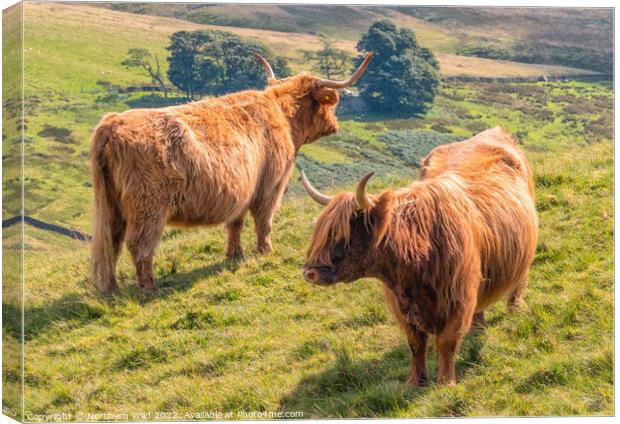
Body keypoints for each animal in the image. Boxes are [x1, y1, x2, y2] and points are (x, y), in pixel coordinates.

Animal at [90, 51, 372, 294]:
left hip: (112, 206)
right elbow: (264, 222)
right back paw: (150, 289)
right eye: (329, 105)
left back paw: (112, 288)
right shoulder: (270, 187)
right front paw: (265, 251)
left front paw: (234, 255)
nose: (335, 125)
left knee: (110, 242)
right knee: (139, 245)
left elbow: (235, 223)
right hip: (148, 207)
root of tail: (112, 123)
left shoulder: (242, 190)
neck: (282, 116)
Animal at [300, 127, 536, 386]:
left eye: (344, 236)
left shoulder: (458, 297)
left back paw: (515, 311)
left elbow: (447, 342)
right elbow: (415, 344)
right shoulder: (402, 306)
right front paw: (414, 381)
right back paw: (477, 329)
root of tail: (494, 131)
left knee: (520, 281)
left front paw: (445, 382)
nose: (310, 273)